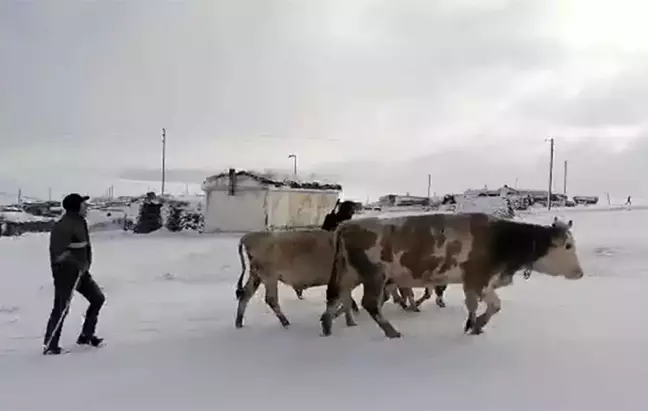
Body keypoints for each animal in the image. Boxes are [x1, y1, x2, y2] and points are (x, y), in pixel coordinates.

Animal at [322, 214, 584, 340]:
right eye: (568, 245)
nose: (580, 272)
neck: (501, 240)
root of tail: (347, 225)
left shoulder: (476, 281)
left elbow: (480, 305)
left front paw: (473, 325)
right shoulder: (479, 277)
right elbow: (492, 304)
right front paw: (476, 324)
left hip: (349, 272)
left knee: (337, 295)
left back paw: (328, 324)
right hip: (374, 275)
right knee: (369, 303)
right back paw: (391, 332)